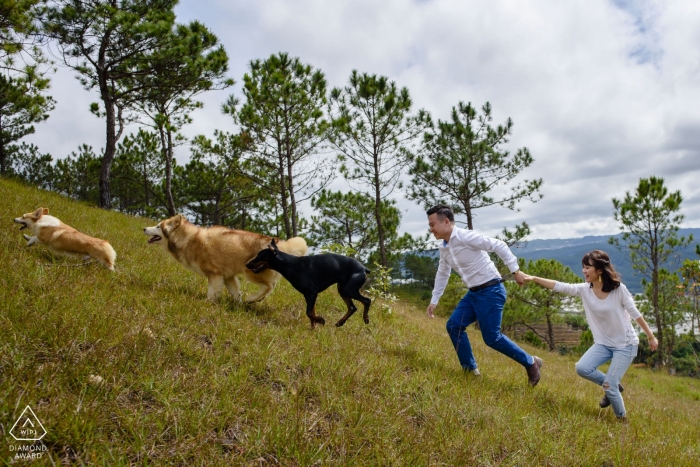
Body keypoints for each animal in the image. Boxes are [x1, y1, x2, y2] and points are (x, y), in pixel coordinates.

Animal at [143, 215, 306, 302]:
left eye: (158, 226)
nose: (144, 228)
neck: (188, 240)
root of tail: (280, 244)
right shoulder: (227, 277)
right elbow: (235, 292)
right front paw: (238, 305)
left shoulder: (214, 274)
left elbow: (212, 292)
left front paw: (208, 303)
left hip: (250, 271)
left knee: (270, 286)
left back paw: (253, 299)